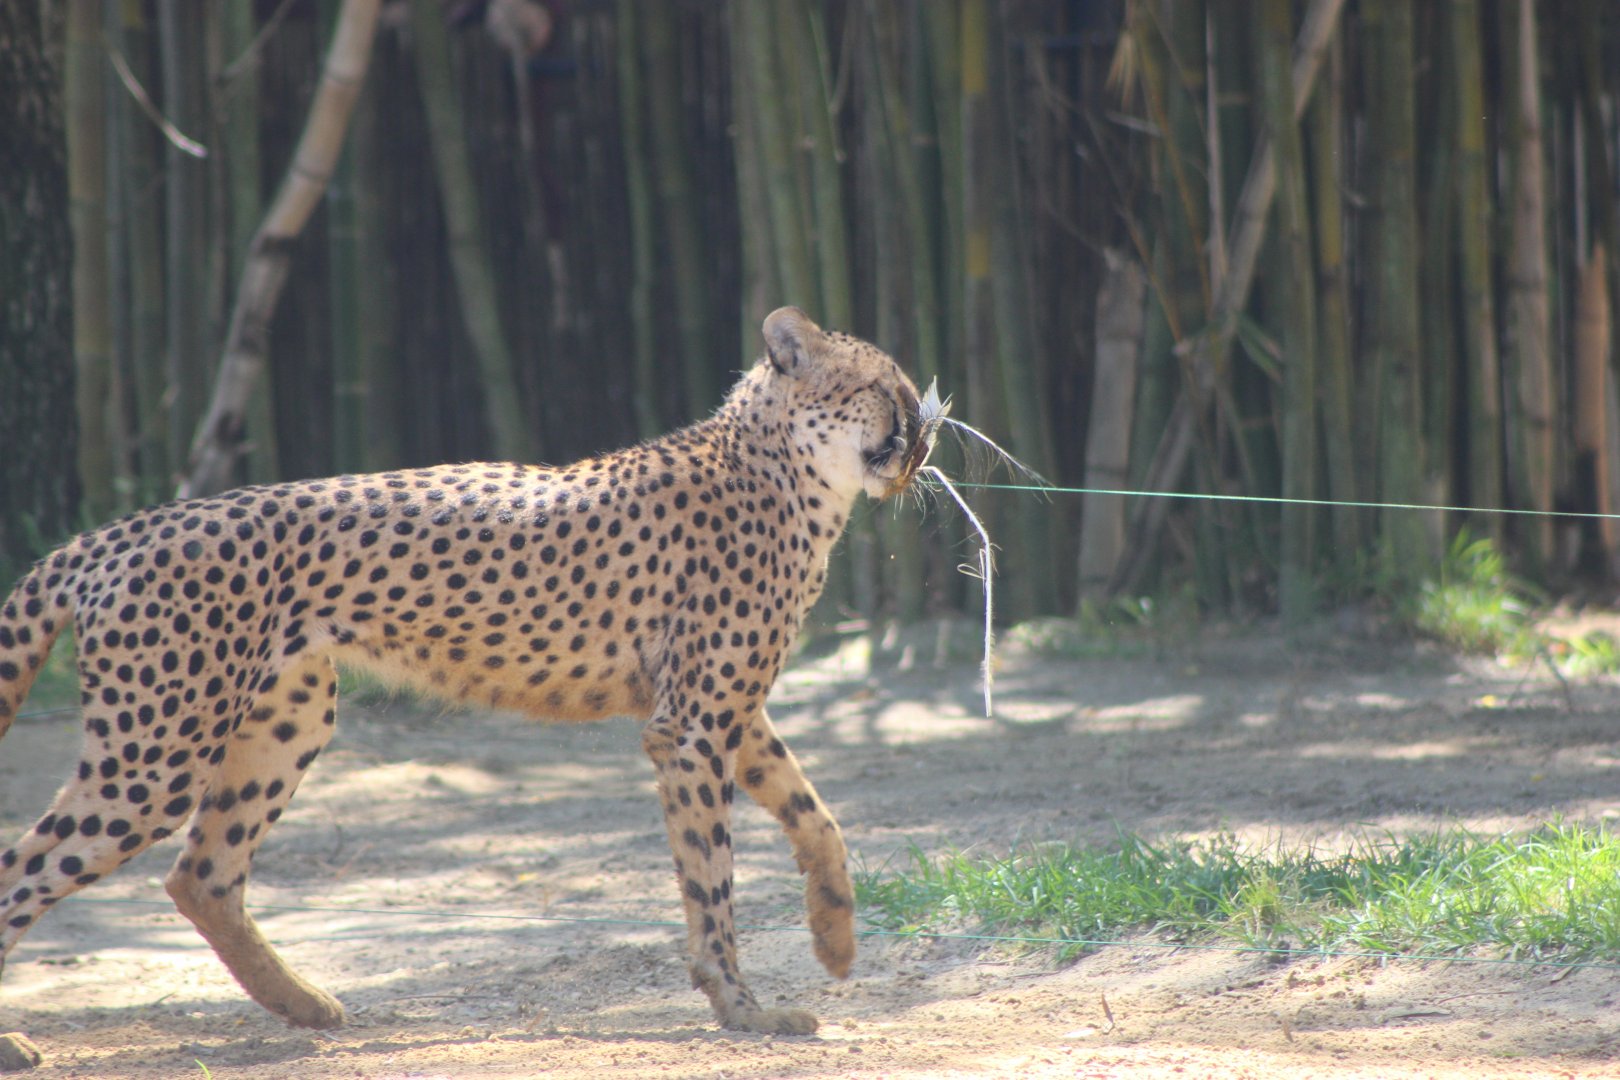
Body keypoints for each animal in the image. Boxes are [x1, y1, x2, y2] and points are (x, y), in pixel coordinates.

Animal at [0, 307, 933, 1038]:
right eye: (884, 388)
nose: (923, 436)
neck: (787, 472)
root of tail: (118, 532)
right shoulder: (693, 725)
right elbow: (712, 878)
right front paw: (741, 1009)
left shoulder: (726, 714)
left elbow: (817, 815)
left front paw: (835, 940)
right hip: (155, 756)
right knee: (32, 868)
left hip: (284, 720)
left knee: (203, 875)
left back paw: (304, 1005)